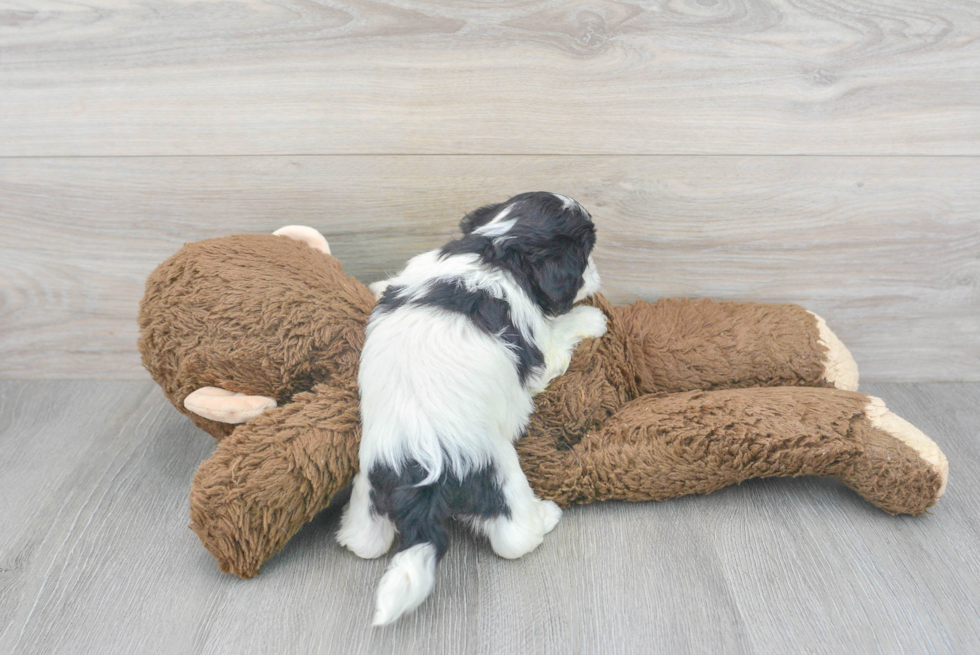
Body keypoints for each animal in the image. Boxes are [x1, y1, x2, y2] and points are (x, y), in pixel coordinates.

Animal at [340, 191, 608, 624]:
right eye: (585, 255)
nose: (598, 275)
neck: (496, 248)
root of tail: (422, 480)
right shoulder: (539, 345)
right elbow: (557, 336)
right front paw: (592, 318)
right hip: (500, 474)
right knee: (514, 538)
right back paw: (545, 517)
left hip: (371, 482)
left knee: (365, 541)